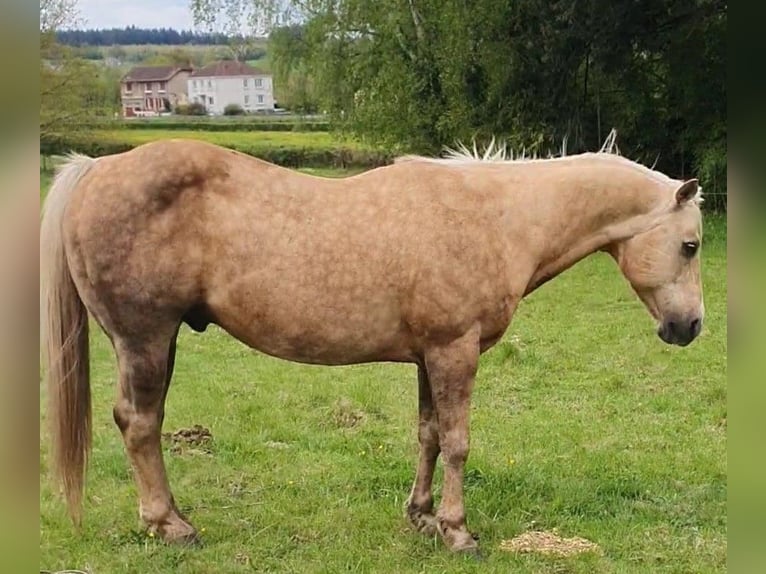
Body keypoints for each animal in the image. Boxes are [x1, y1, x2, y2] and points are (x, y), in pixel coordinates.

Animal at [40, 136, 704, 553]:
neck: (495, 218)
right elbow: (458, 443)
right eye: (692, 244)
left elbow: (429, 435)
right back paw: (171, 525)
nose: (691, 327)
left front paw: (421, 517)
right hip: (147, 341)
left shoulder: (430, 356)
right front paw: (458, 531)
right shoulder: (455, 351)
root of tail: (97, 168)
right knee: (140, 425)